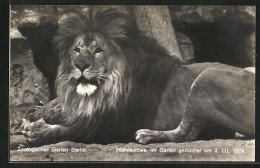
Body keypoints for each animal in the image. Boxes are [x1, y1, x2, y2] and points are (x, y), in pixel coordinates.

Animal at [21, 7, 255, 145]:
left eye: (99, 50)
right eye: (77, 50)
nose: (80, 65)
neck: (107, 87)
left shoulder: (108, 128)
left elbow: (68, 130)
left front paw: (36, 130)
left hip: (205, 79)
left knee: (184, 133)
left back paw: (147, 134)